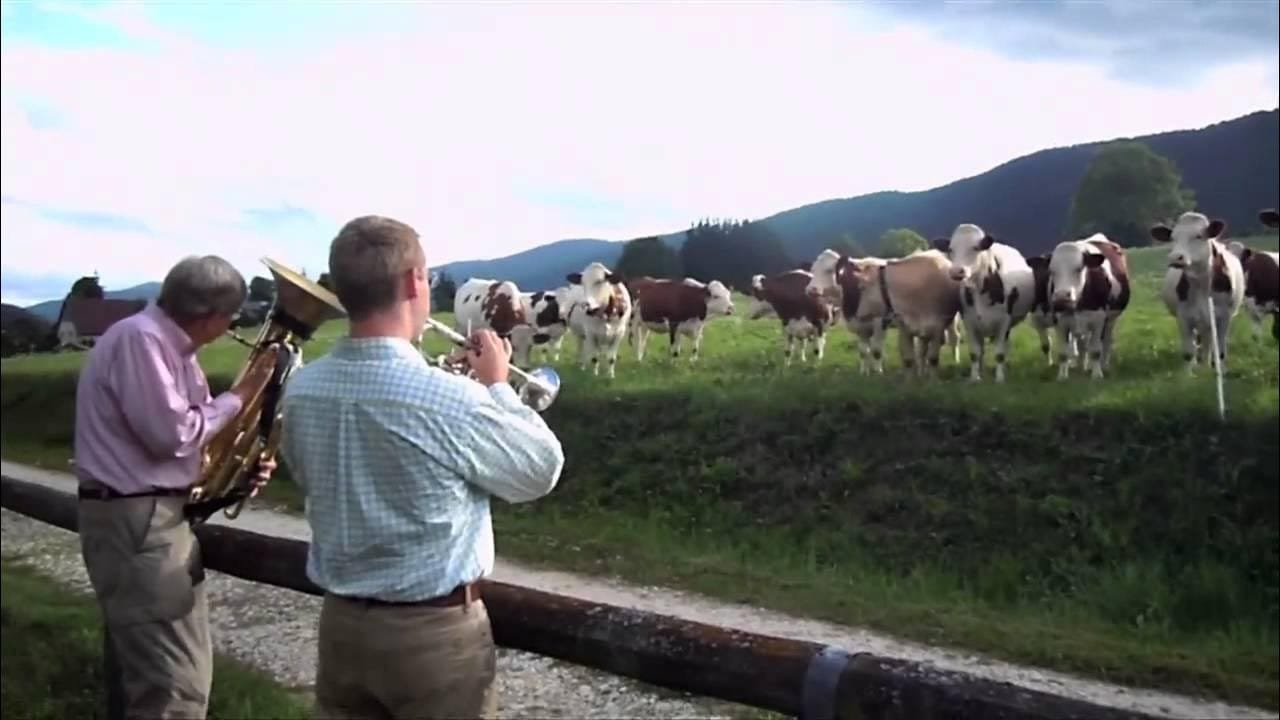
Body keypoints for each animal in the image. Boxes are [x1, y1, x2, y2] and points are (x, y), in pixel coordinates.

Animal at [807, 249, 961, 376]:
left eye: (829, 270)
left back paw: (955, 360)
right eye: (812, 270)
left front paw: (878, 372)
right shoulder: (860, 325)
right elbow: (863, 351)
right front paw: (864, 372)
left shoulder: (880, 321)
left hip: (950, 319)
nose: (810, 290)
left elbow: (876, 351)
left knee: (954, 337)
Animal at [933, 224, 1036, 383]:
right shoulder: (970, 322)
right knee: (981, 349)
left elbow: (1000, 353)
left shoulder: (1004, 322)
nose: (956, 271)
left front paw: (999, 378)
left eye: (976, 248)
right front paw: (975, 377)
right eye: (950, 249)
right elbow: (975, 353)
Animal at [1045, 234, 1132, 380]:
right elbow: (1063, 353)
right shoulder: (1060, 323)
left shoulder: (1099, 320)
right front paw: (1062, 376)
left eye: (1079, 268)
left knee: (1106, 342)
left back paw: (1103, 366)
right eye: (1052, 271)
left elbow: (1096, 350)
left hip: (1111, 320)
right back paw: (1081, 366)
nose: (1062, 297)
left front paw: (1097, 375)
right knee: (1082, 345)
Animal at [1150, 211, 1245, 373]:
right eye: (1173, 238)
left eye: (1198, 236)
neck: (1202, 285)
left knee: (1209, 342)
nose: (1175, 257)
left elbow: (1220, 350)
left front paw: (1219, 370)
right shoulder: (1184, 316)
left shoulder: (1224, 317)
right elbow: (1189, 352)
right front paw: (1188, 374)